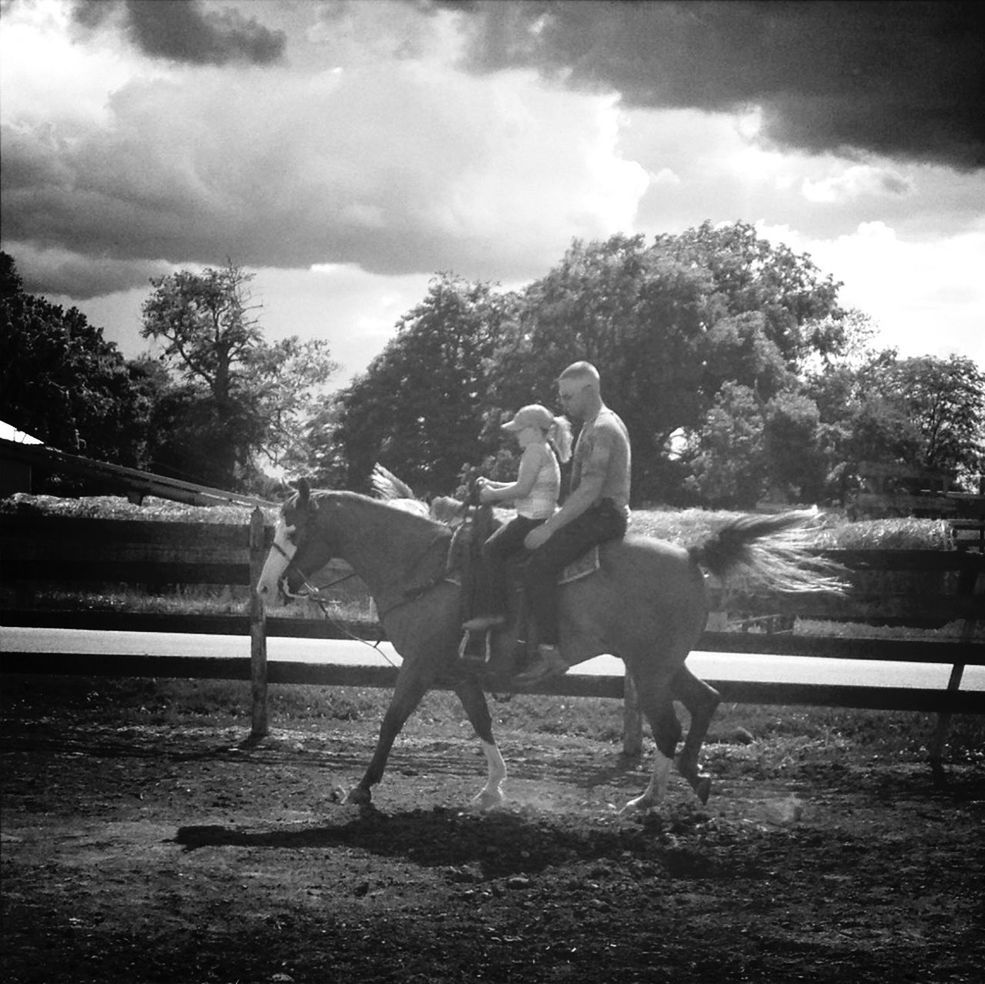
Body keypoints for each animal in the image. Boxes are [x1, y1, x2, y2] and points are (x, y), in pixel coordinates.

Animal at [254, 484, 836, 816]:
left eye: (293, 529)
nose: (263, 588)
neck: (425, 566)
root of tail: (692, 553)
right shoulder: (460, 672)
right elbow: (482, 723)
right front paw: (493, 789)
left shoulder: (419, 665)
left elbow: (391, 723)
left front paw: (363, 788)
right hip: (664, 663)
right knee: (705, 700)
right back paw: (696, 778)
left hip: (649, 667)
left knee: (670, 726)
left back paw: (649, 799)